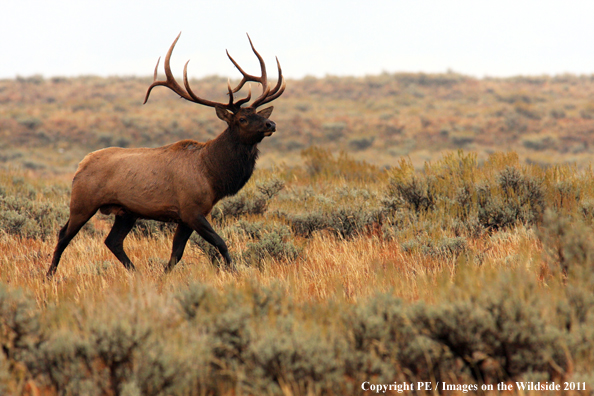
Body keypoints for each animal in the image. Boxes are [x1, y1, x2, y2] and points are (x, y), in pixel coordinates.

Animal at [47, 32, 284, 276]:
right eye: (242, 119)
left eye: (259, 113)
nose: (271, 124)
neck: (212, 174)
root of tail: (81, 165)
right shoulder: (191, 210)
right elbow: (220, 242)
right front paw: (235, 272)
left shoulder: (187, 217)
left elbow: (176, 253)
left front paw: (164, 276)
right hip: (82, 202)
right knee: (63, 235)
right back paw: (50, 274)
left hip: (126, 212)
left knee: (112, 241)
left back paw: (136, 272)